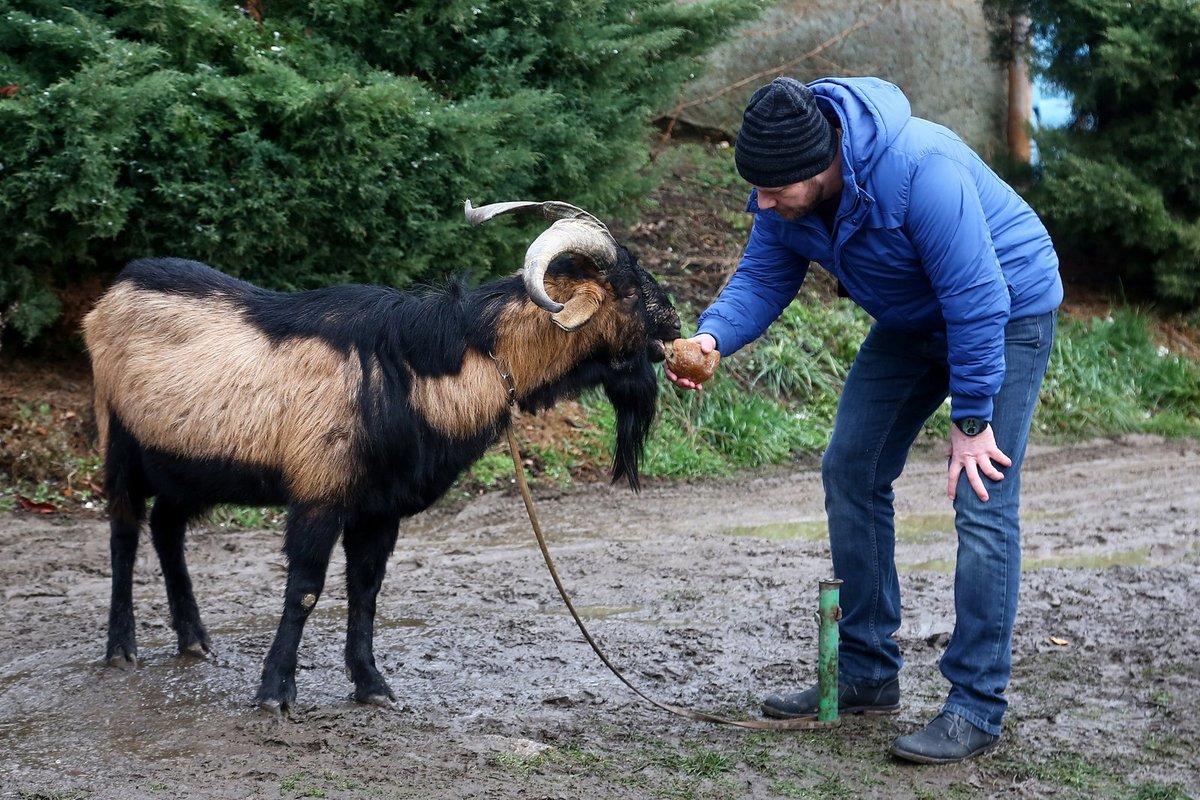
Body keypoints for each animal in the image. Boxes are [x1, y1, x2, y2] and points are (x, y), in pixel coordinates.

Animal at [82, 201, 686, 714]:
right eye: (627, 289)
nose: (676, 323)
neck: (422, 365)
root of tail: (114, 291)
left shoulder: (379, 505)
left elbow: (366, 589)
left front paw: (371, 684)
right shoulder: (320, 492)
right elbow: (305, 591)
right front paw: (275, 693)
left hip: (187, 465)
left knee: (167, 528)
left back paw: (194, 639)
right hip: (120, 440)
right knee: (124, 533)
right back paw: (121, 647)